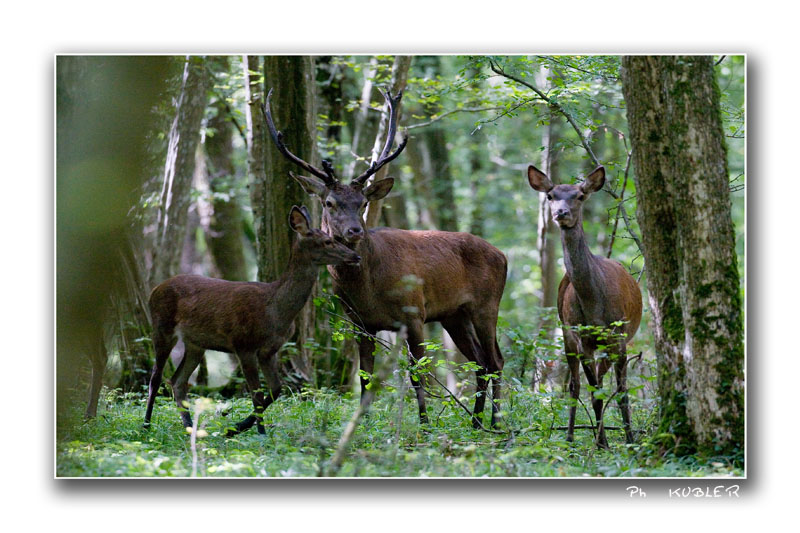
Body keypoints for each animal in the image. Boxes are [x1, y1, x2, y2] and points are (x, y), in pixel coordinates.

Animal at [144, 206, 361, 435]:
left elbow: (276, 388)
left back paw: (190, 428)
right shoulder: (244, 344)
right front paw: (258, 433)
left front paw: (236, 428)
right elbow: (256, 395)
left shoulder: (269, 350)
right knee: (156, 378)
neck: (275, 311)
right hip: (162, 327)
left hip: (195, 343)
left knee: (178, 381)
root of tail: (154, 290)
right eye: (327, 241)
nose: (355, 255)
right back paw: (147, 424)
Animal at [263, 89, 508, 429]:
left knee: (496, 360)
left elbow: (418, 374)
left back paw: (495, 423)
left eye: (363, 202)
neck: (369, 288)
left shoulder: (414, 313)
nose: (353, 231)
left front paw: (424, 426)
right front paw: (361, 425)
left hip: (486, 304)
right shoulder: (359, 322)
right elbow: (364, 379)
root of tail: (503, 255)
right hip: (453, 314)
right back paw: (476, 421)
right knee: (481, 362)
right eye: (329, 202)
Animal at [527, 165, 642, 448]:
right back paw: (569, 437)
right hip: (567, 335)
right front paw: (602, 442)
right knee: (576, 386)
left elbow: (621, 392)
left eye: (580, 196)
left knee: (599, 379)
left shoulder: (619, 336)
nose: (561, 213)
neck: (595, 306)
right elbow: (594, 392)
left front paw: (629, 439)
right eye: (550, 196)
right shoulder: (582, 338)